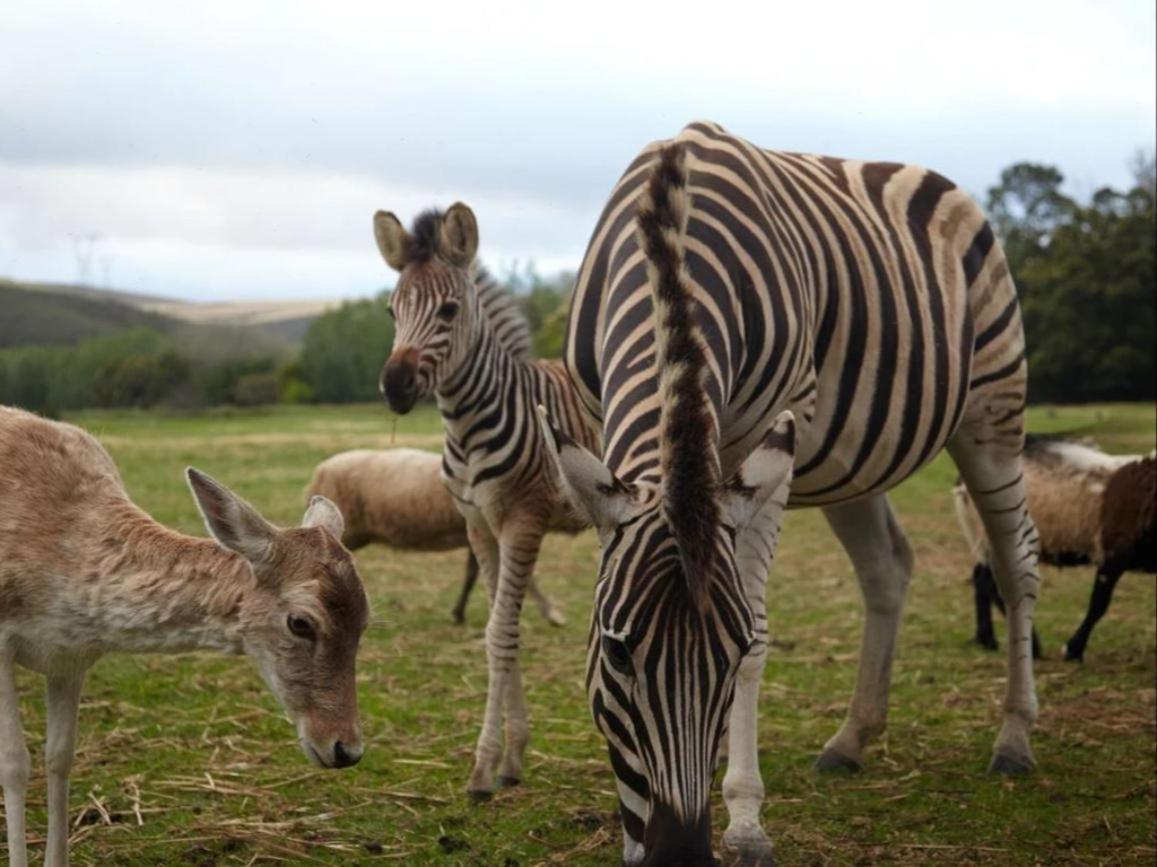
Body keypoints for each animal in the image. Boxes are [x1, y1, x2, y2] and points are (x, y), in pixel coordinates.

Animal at [0, 407, 367, 865]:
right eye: (300, 622)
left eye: (365, 620)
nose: (346, 749)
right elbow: (14, 763)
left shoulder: (71, 657)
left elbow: (60, 756)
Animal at [372, 206, 606, 801]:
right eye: (391, 311)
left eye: (450, 310)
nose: (395, 386)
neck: (468, 425)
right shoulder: (480, 524)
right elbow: (505, 633)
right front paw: (513, 758)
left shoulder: (524, 519)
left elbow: (499, 633)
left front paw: (481, 770)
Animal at [536, 121, 1045, 865]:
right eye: (617, 653)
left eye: (729, 653)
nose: (679, 856)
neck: (668, 249)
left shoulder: (769, 432)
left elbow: (758, 626)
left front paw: (746, 819)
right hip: (852, 460)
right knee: (887, 569)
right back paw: (852, 738)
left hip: (992, 412)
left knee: (1016, 563)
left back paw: (1012, 737)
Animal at [953, 435, 1152, 657]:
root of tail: (961, 483)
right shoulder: (1114, 552)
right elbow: (1098, 605)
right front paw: (1072, 650)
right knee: (991, 584)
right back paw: (1029, 645)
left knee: (980, 579)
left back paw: (987, 639)